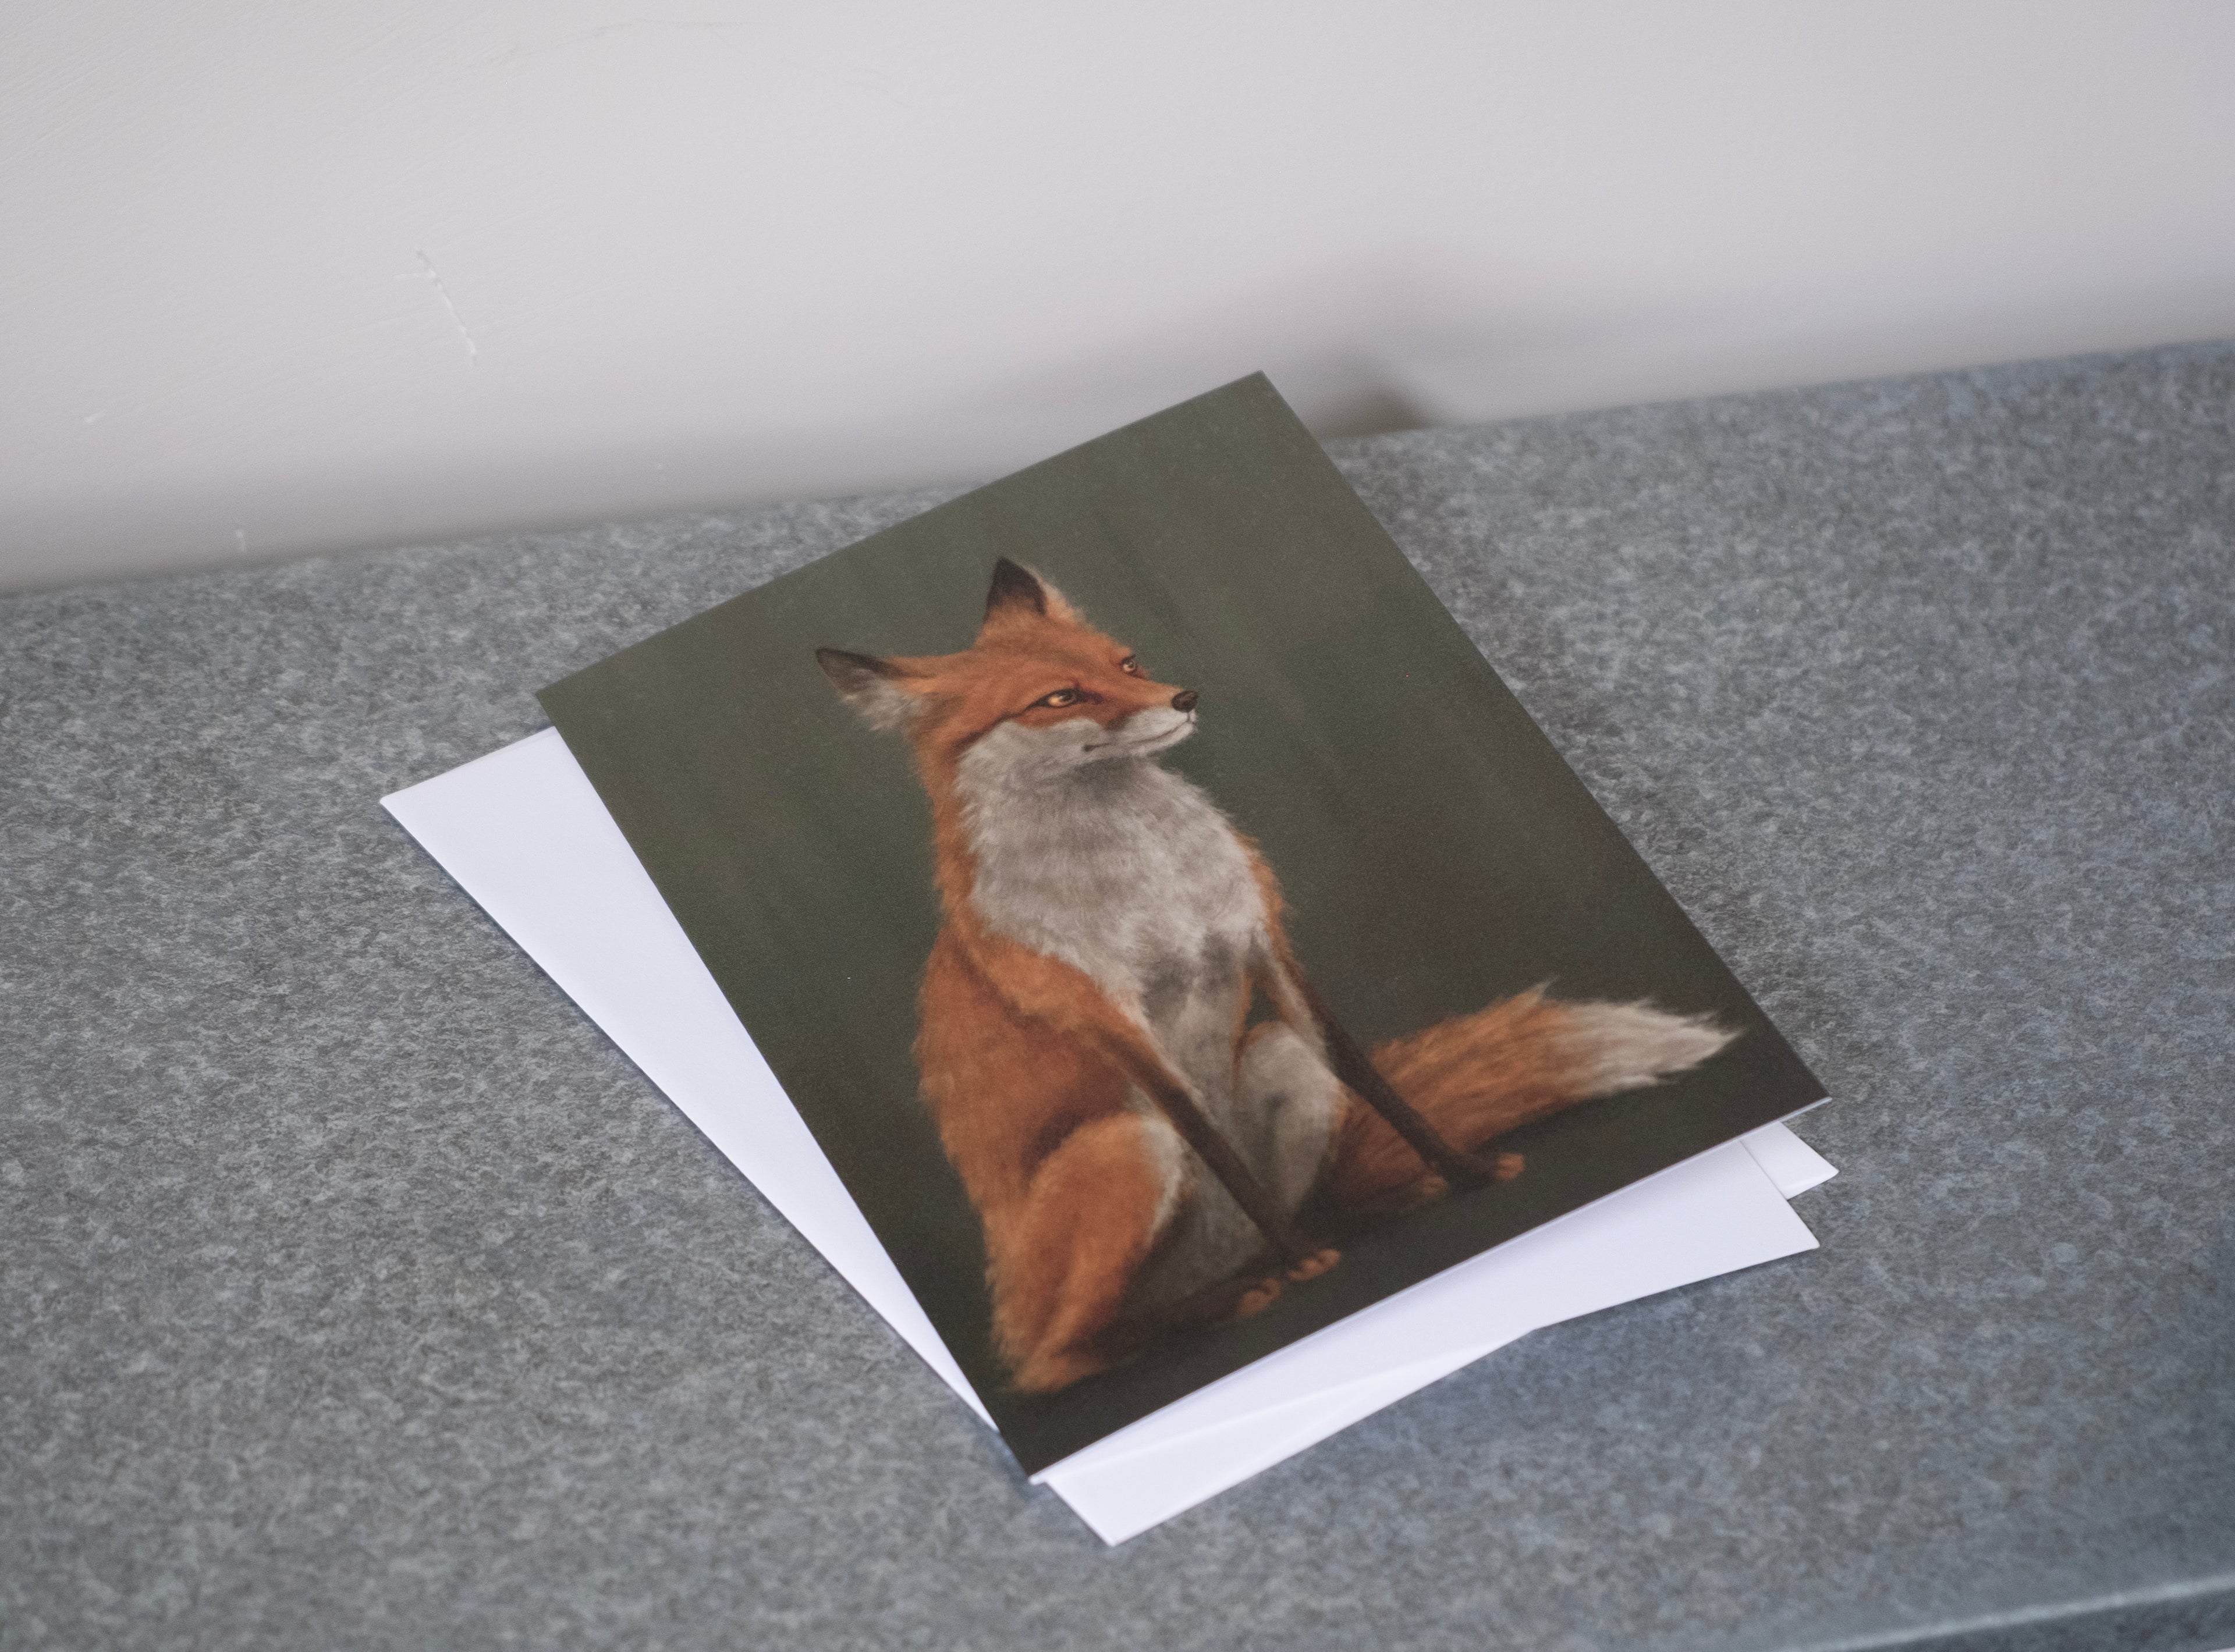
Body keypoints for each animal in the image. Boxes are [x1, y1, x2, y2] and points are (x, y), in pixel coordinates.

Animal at [816, 559, 1734, 1395]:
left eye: (1127, 662)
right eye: (1059, 697)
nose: (1184, 697)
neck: (1141, 873)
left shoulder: (1261, 941)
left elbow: (1367, 1073)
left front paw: (1462, 1167)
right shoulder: (1109, 1015)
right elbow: (1208, 1136)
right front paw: (1311, 1263)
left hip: (1273, 1055)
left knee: (1315, 1176)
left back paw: (1364, 1212)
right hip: (1127, 1147)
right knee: (1059, 1361)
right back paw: (1231, 1298)